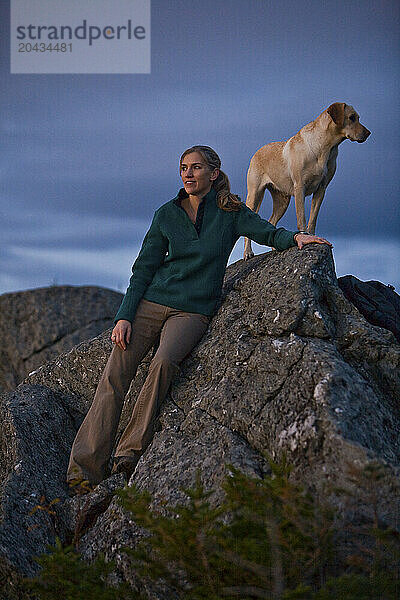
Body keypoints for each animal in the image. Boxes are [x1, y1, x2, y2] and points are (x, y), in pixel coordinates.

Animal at [244, 101, 372, 260]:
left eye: (358, 117)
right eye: (352, 117)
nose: (368, 133)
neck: (326, 148)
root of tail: (256, 152)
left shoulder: (321, 189)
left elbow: (313, 218)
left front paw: (312, 237)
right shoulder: (300, 188)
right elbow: (302, 219)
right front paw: (304, 237)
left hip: (282, 200)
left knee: (271, 222)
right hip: (254, 194)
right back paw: (248, 253)